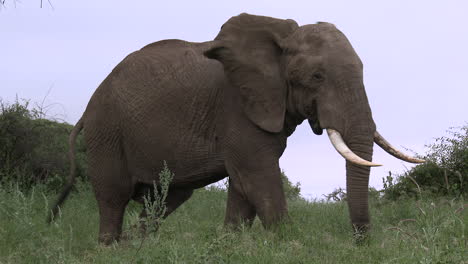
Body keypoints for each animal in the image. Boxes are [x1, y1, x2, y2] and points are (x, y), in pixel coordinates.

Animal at [47, 12, 424, 243]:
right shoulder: (236, 107)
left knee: (164, 199)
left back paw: (139, 247)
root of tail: (86, 110)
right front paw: (288, 245)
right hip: (107, 131)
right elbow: (258, 177)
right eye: (317, 77)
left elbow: (244, 189)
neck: (281, 36)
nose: (361, 242)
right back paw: (111, 248)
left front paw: (229, 245)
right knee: (113, 197)